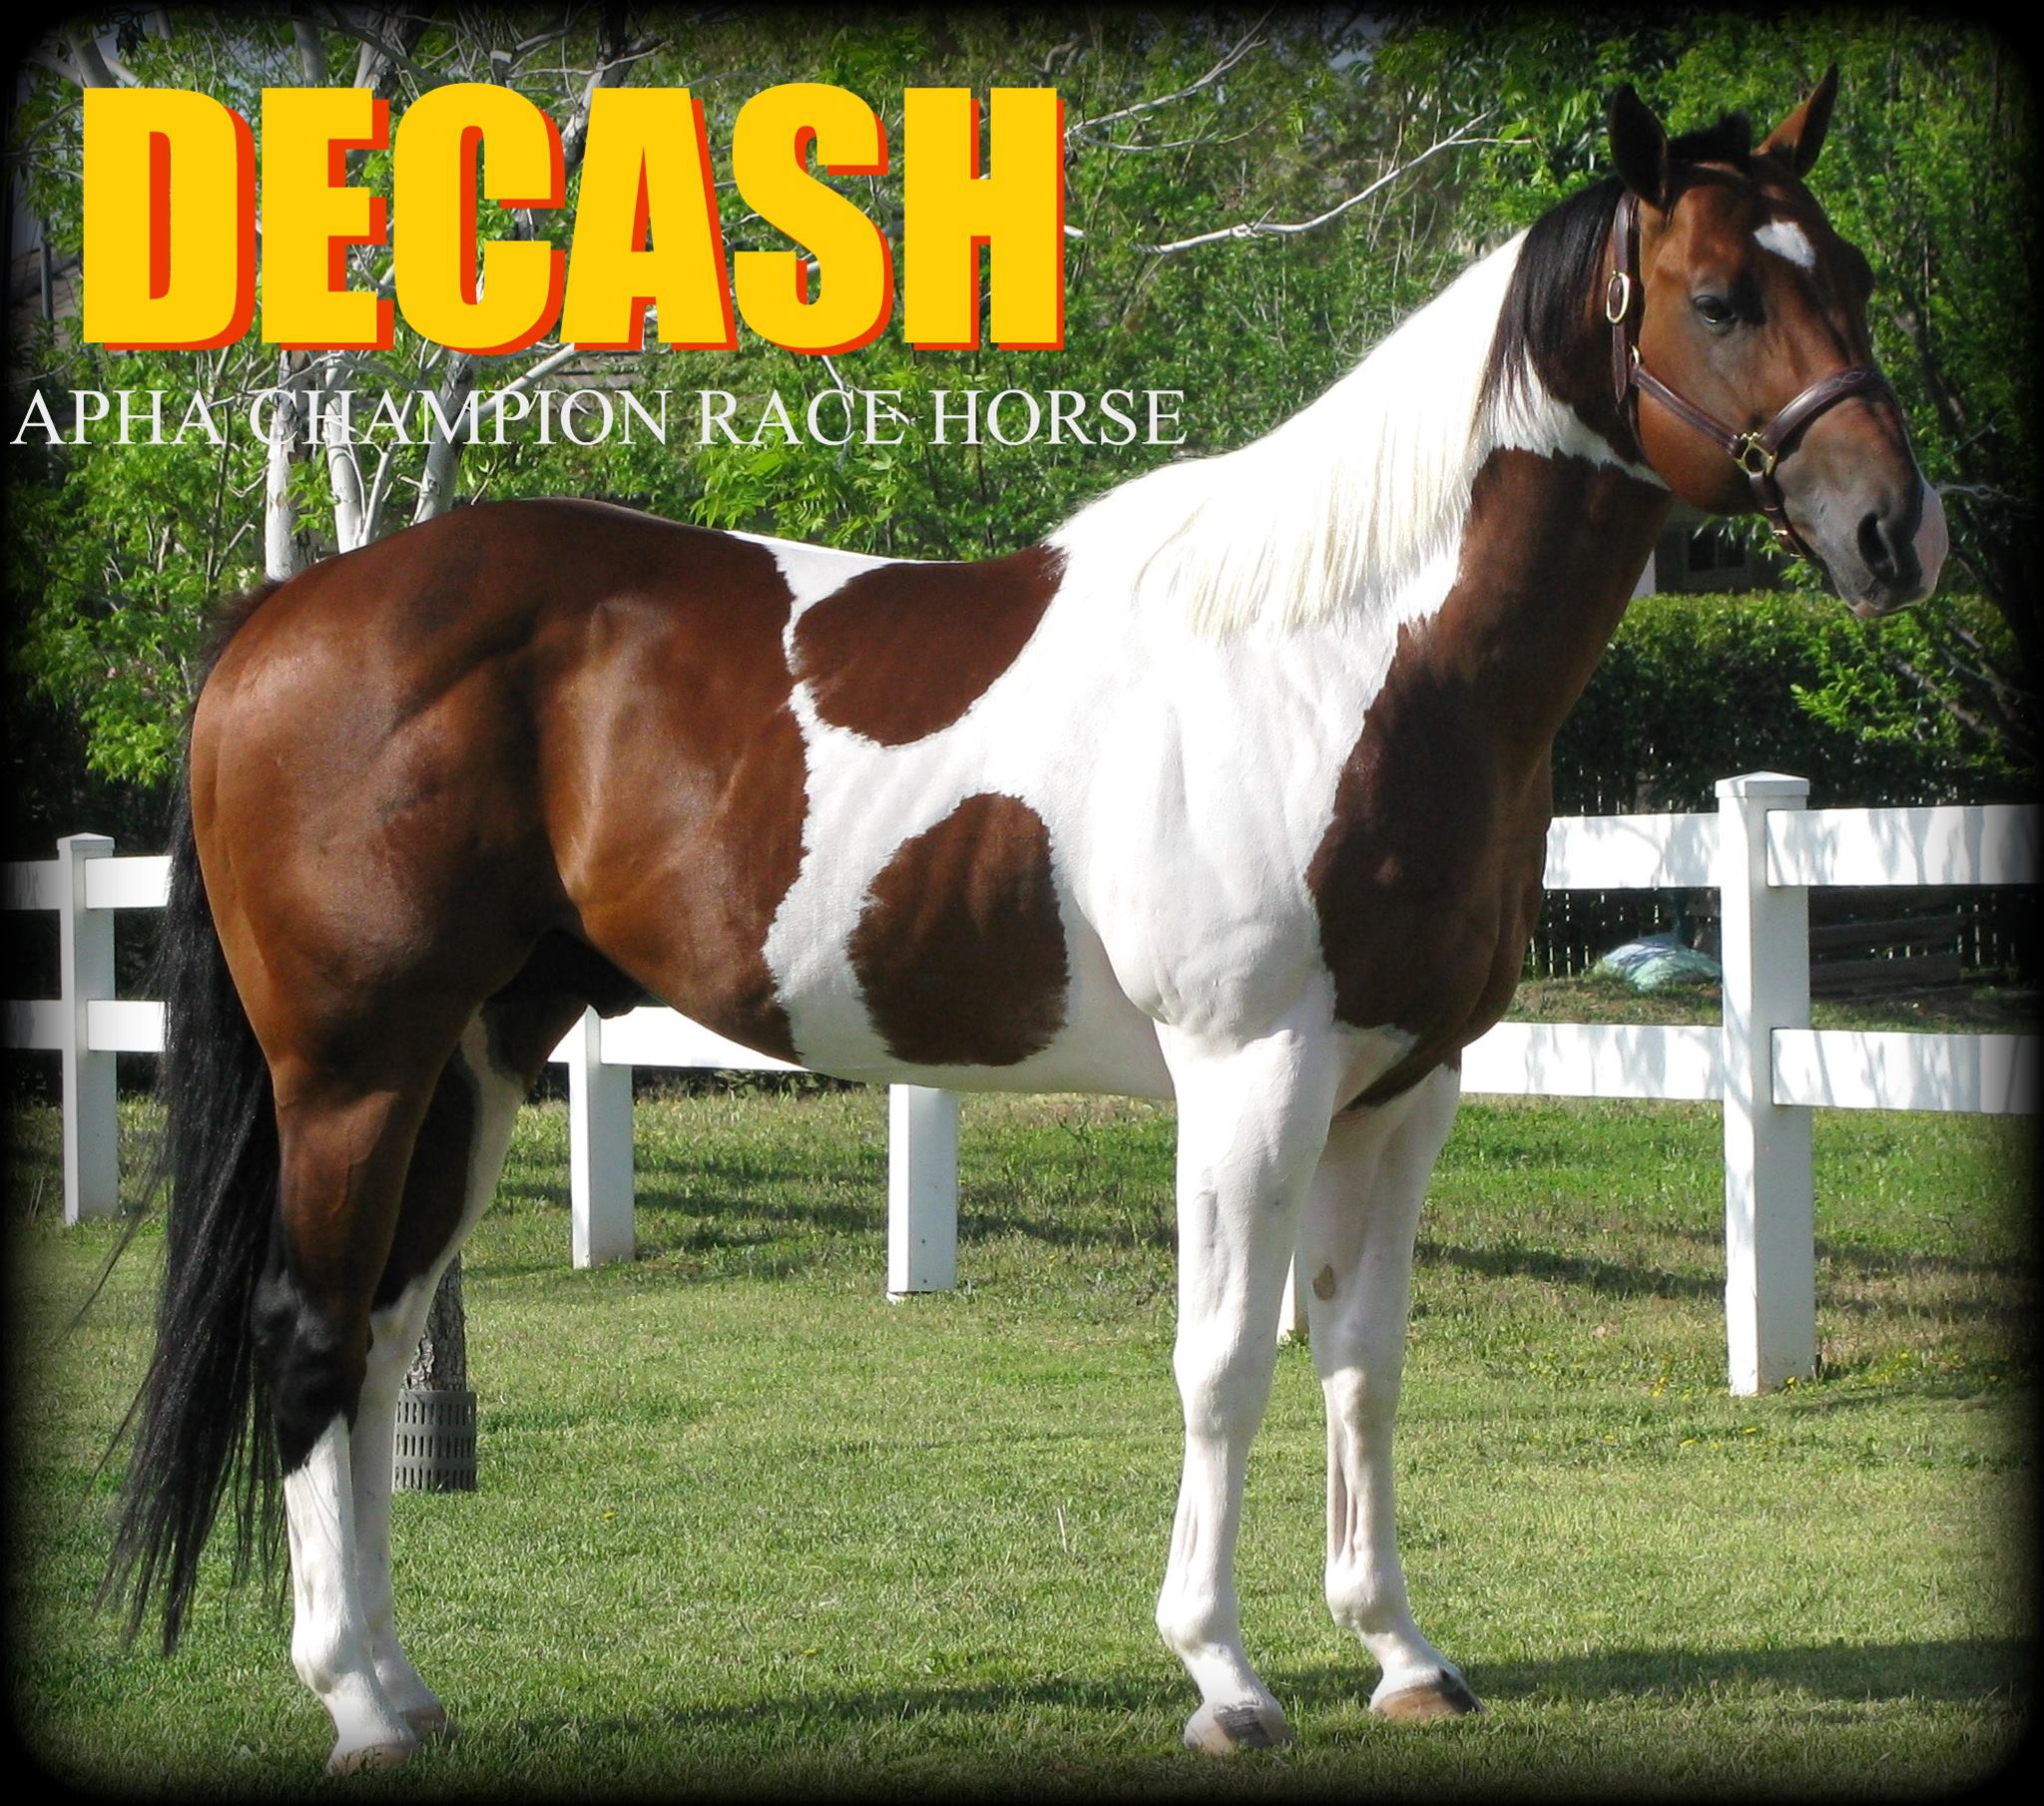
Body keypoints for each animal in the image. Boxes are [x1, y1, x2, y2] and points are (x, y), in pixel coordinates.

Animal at [99, 67, 1945, 1765]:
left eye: (1849, 272)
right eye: (1721, 295)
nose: (1893, 535)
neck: (1352, 658)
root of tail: (280, 616)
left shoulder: (1404, 1086)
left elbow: (1361, 1359)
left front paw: (1404, 1656)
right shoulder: (1247, 1074)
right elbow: (1226, 1360)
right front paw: (1223, 1673)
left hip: (476, 1056)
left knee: (386, 1331)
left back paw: (403, 1684)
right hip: (354, 1067)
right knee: (311, 1331)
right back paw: (355, 1699)